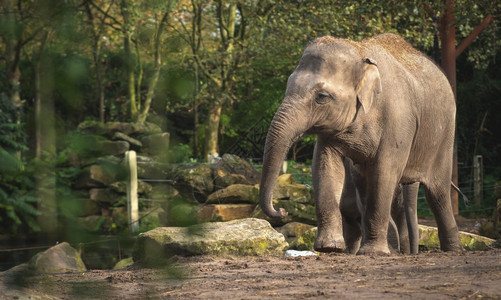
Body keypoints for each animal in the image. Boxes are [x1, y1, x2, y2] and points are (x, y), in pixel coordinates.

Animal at [262, 33, 460, 255]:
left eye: (321, 97)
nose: (282, 210)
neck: (359, 52)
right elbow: (325, 166)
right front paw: (329, 247)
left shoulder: (398, 120)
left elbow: (384, 172)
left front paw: (374, 252)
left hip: (445, 135)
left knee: (438, 193)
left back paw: (452, 250)